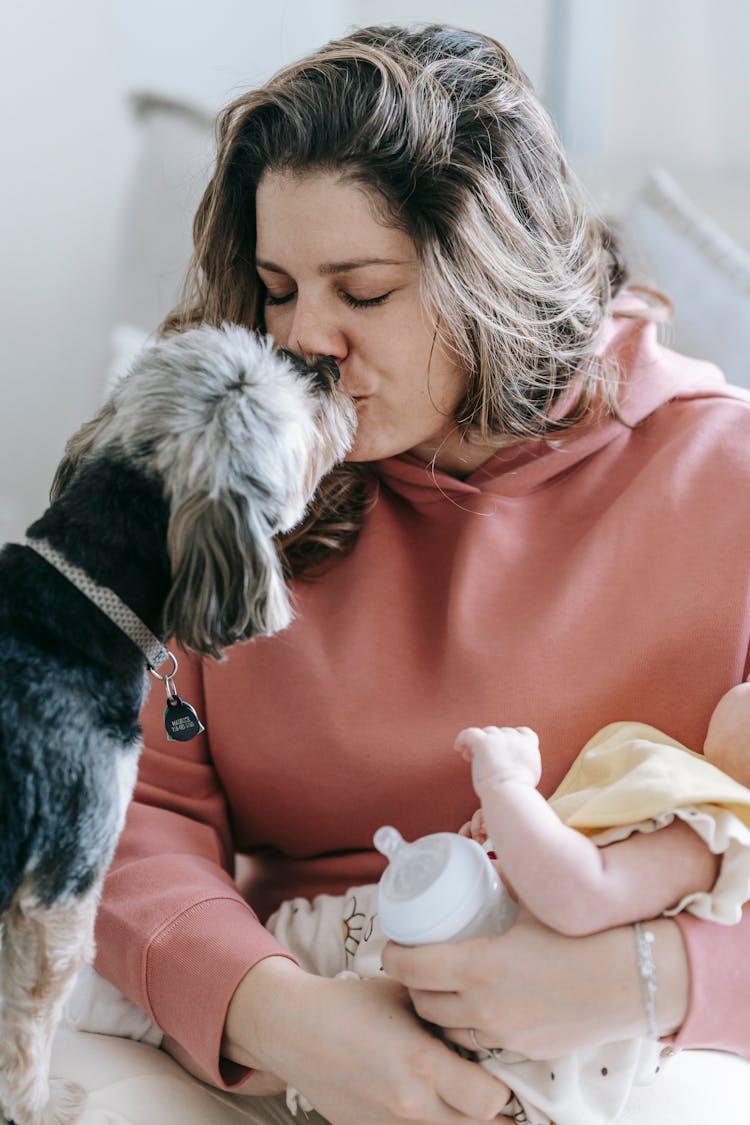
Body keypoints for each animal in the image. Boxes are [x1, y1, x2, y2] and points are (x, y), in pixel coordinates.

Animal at [0, 321, 357, 1120]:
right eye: (292, 404)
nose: (324, 368)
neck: (78, 598)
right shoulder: (59, 890)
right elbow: (27, 1030)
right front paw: (42, 1105)